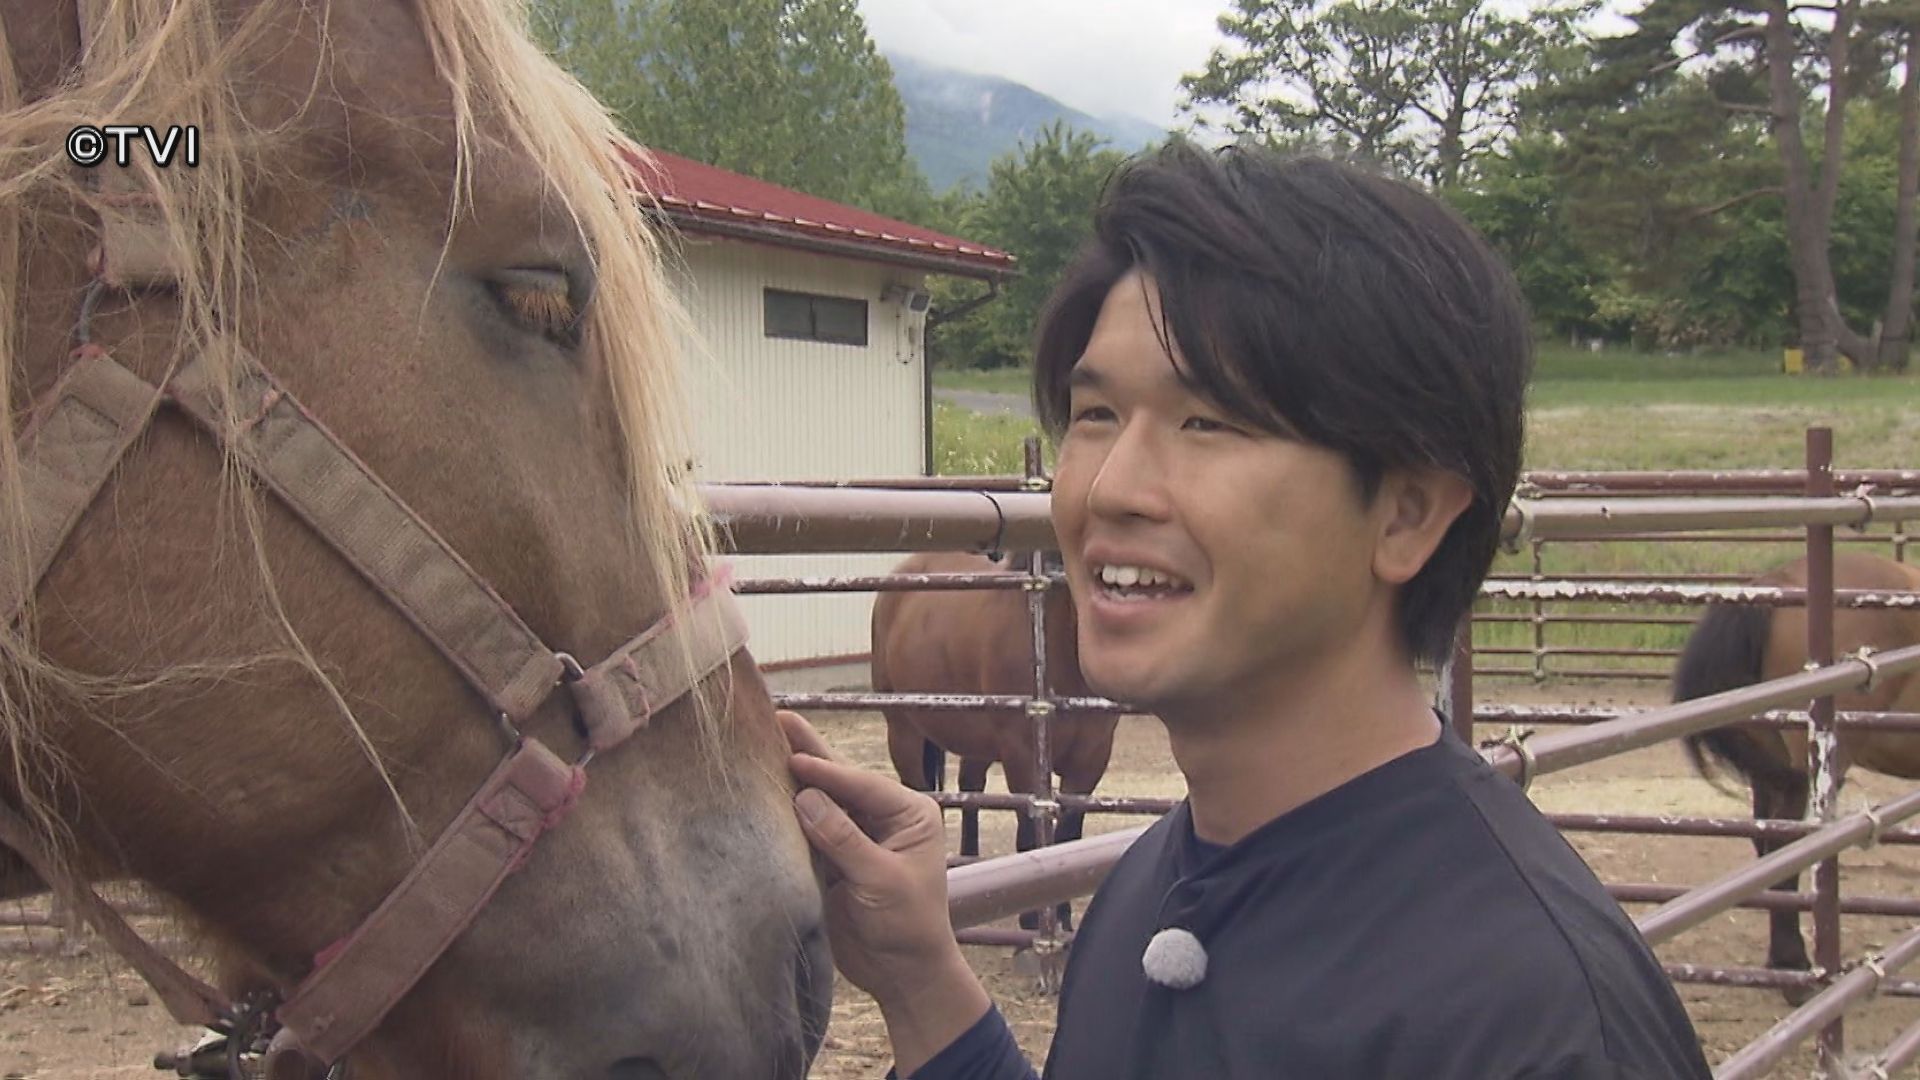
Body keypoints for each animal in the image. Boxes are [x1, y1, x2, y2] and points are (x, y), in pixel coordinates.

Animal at [871, 550, 1119, 930]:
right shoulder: (1021, 754)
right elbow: (1029, 831)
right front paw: (1032, 921)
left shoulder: (1092, 757)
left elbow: (1068, 832)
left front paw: (1062, 916)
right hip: (903, 733)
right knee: (922, 794)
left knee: (969, 788)